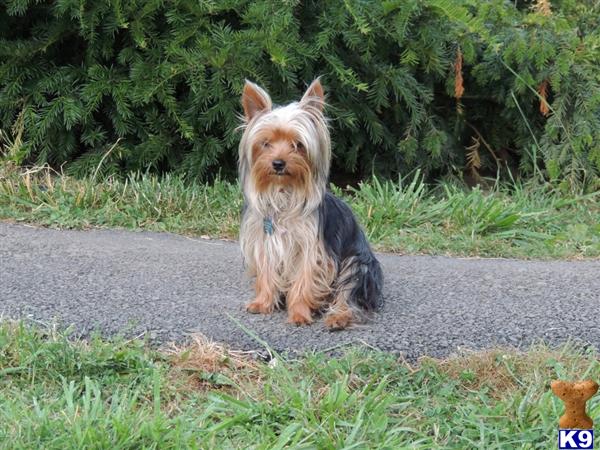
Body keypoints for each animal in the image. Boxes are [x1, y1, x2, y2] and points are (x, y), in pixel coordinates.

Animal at [237, 79, 382, 328]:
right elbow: (267, 272)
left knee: (349, 294)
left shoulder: (312, 247)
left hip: (358, 264)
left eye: (298, 145)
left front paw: (299, 314)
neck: (284, 193)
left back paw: (338, 317)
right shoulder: (265, 241)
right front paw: (263, 303)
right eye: (265, 143)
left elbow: (305, 279)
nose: (278, 163)